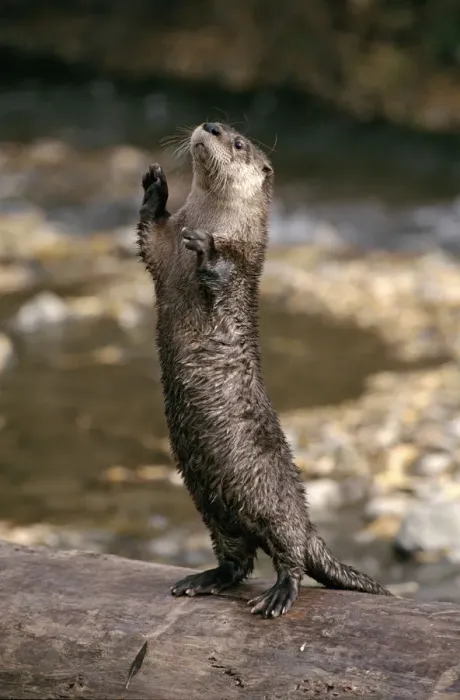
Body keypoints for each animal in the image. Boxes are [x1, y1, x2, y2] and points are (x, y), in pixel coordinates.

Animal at [136, 121, 391, 618]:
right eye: (217, 123)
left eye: (238, 143)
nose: (211, 126)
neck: (212, 222)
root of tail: (309, 526)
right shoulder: (162, 247)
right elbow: (146, 232)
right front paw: (155, 185)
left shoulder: (240, 262)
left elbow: (224, 273)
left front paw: (206, 249)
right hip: (212, 507)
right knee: (237, 559)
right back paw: (204, 579)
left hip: (270, 501)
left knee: (291, 555)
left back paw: (278, 596)